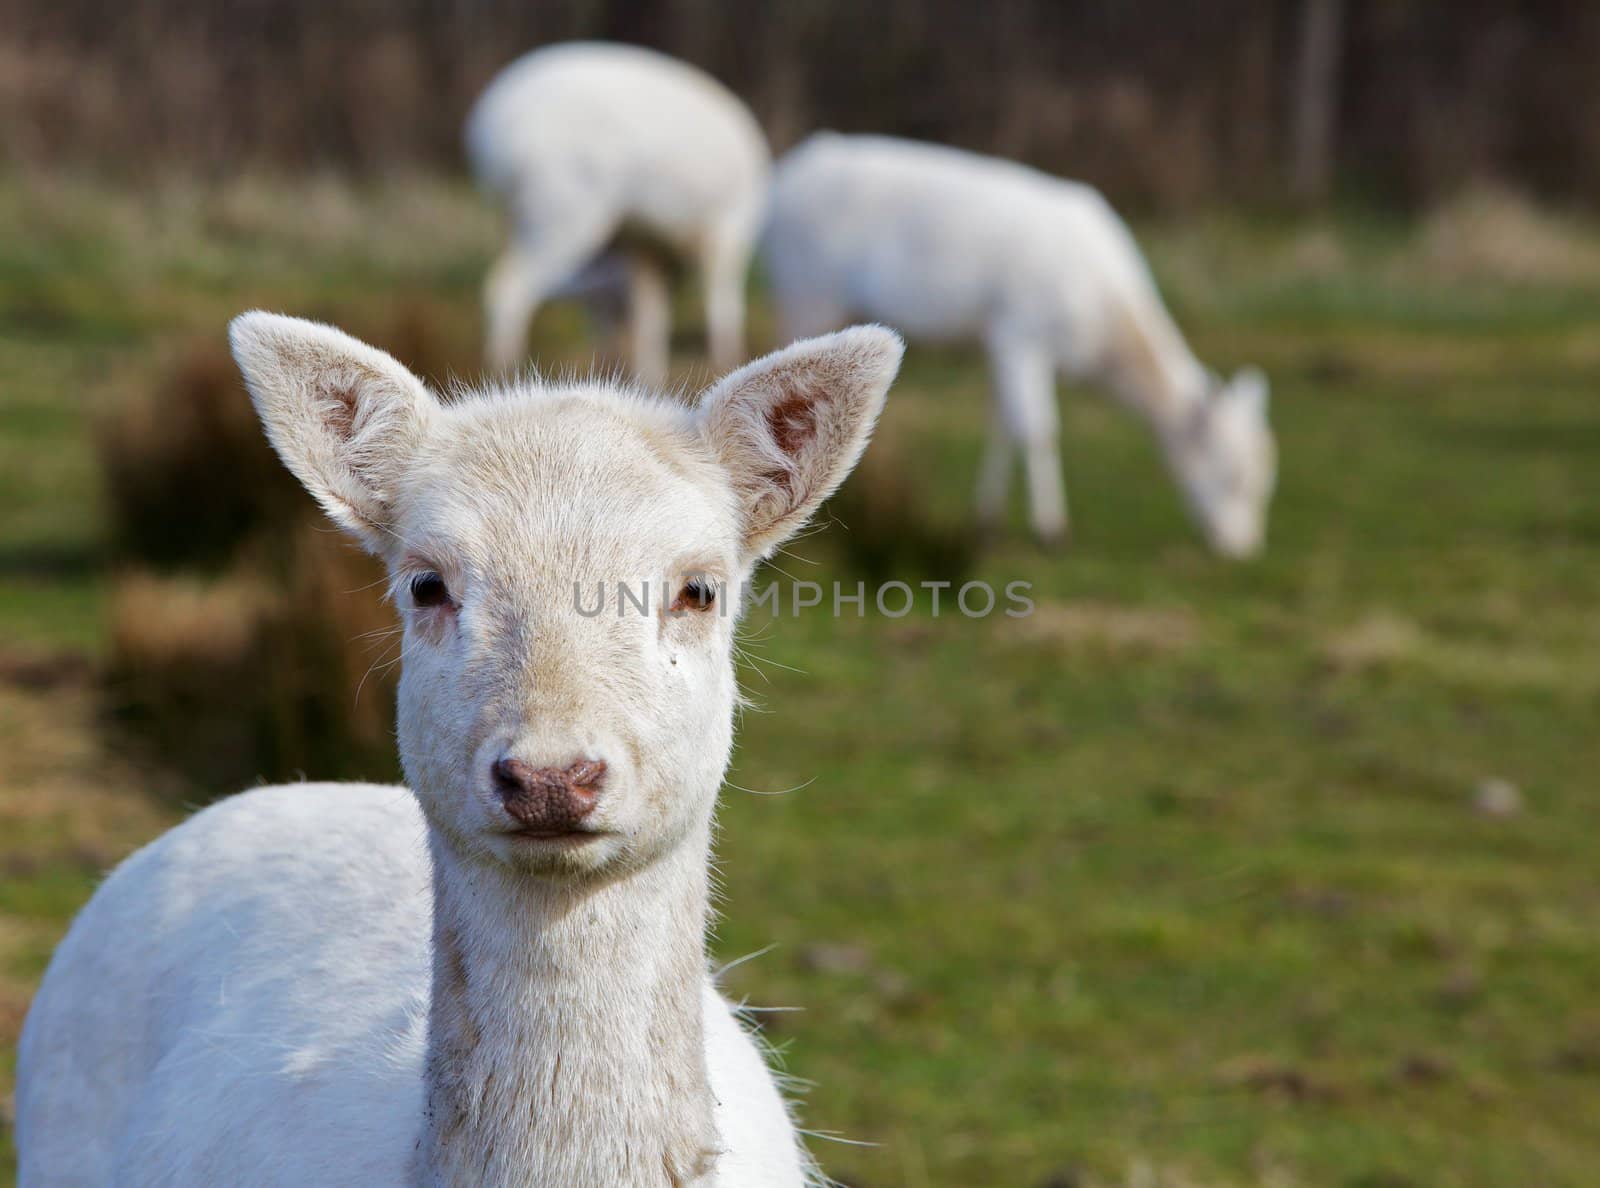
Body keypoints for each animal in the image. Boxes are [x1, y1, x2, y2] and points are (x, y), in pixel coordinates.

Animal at [467, 40, 771, 385]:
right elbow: (722, 306)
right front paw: (726, 365)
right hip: (563, 213)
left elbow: (651, 319)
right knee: (507, 288)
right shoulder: (728, 229)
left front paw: (651, 381)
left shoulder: (646, 249)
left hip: (521, 220)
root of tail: (488, 129)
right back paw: (505, 371)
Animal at [761, 132, 1273, 560]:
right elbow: (1037, 427)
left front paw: (986, 519)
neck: (1102, 327)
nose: (1243, 547)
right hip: (808, 290)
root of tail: (784, 179)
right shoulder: (1020, 332)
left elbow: (1003, 421)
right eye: (1235, 475)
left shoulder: (995, 341)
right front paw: (1052, 531)